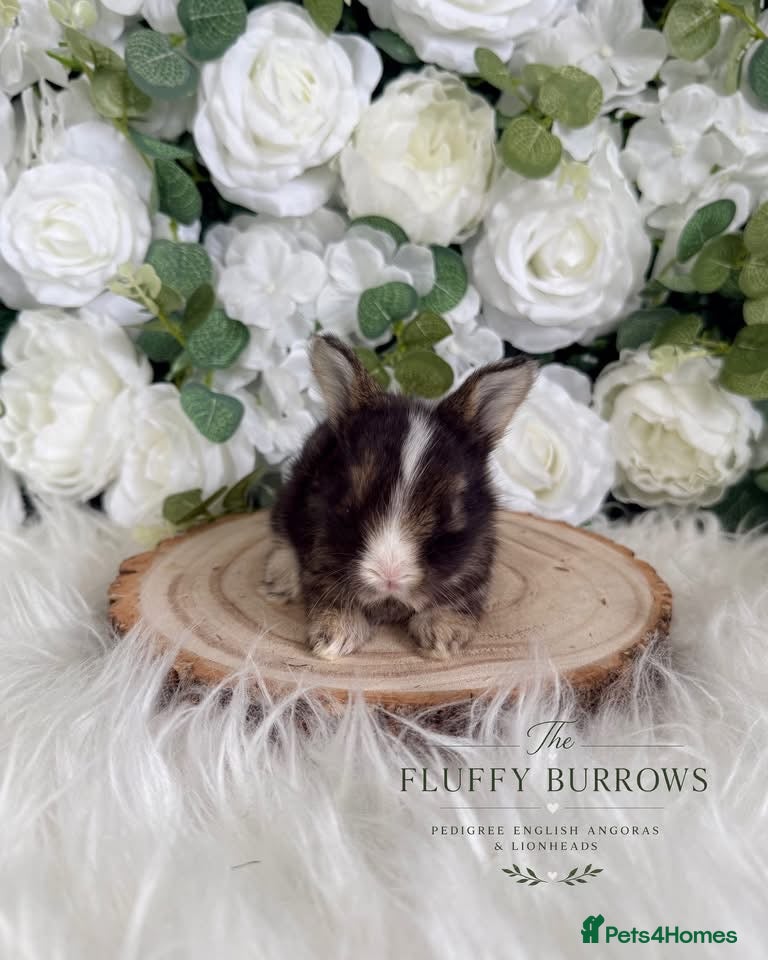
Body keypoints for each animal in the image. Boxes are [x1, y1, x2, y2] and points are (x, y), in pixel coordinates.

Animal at [264, 333, 537, 660]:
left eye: (447, 510)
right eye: (350, 501)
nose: (388, 576)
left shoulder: (477, 558)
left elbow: (460, 598)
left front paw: (442, 638)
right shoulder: (318, 549)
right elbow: (329, 591)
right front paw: (333, 639)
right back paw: (280, 580)